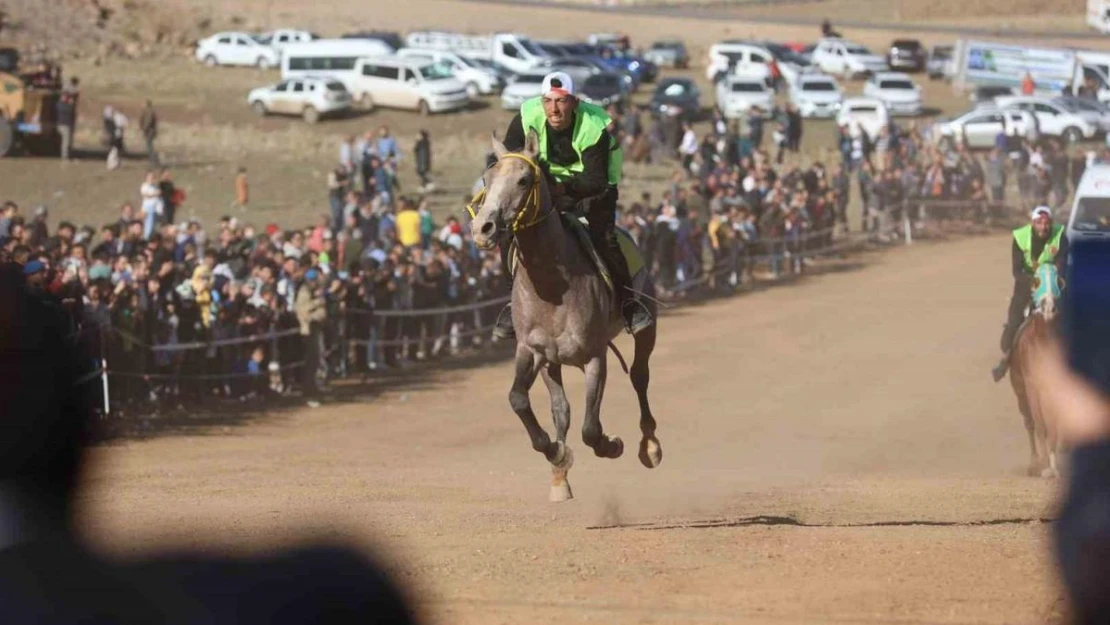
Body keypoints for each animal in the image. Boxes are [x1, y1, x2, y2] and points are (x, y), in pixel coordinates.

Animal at [466, 132, 657, 503]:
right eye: (487, 179)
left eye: (524, 180)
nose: (483, 228)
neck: (553, 287)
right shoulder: (532, 351)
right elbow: (520, 400)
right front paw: (556, 455)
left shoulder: (594, 356)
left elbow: (591, 429)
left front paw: (612, 444)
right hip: (552, 362)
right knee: (562, 409)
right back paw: (560, 477)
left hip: (646, 325)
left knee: (639, 375)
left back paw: (651, 445)